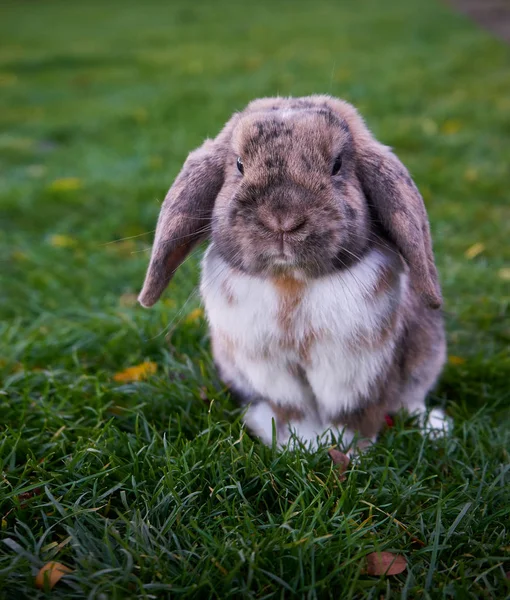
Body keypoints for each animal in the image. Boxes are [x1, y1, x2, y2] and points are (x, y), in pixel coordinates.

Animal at [136, 95, 450, 450]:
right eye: (239, 165)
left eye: (337, 164)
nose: (282, 220)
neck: (290, 282)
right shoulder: (272, 373)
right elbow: (294, 412)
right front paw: (300, 445)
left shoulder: (355, 370)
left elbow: (353, 415)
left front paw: (345, 449)